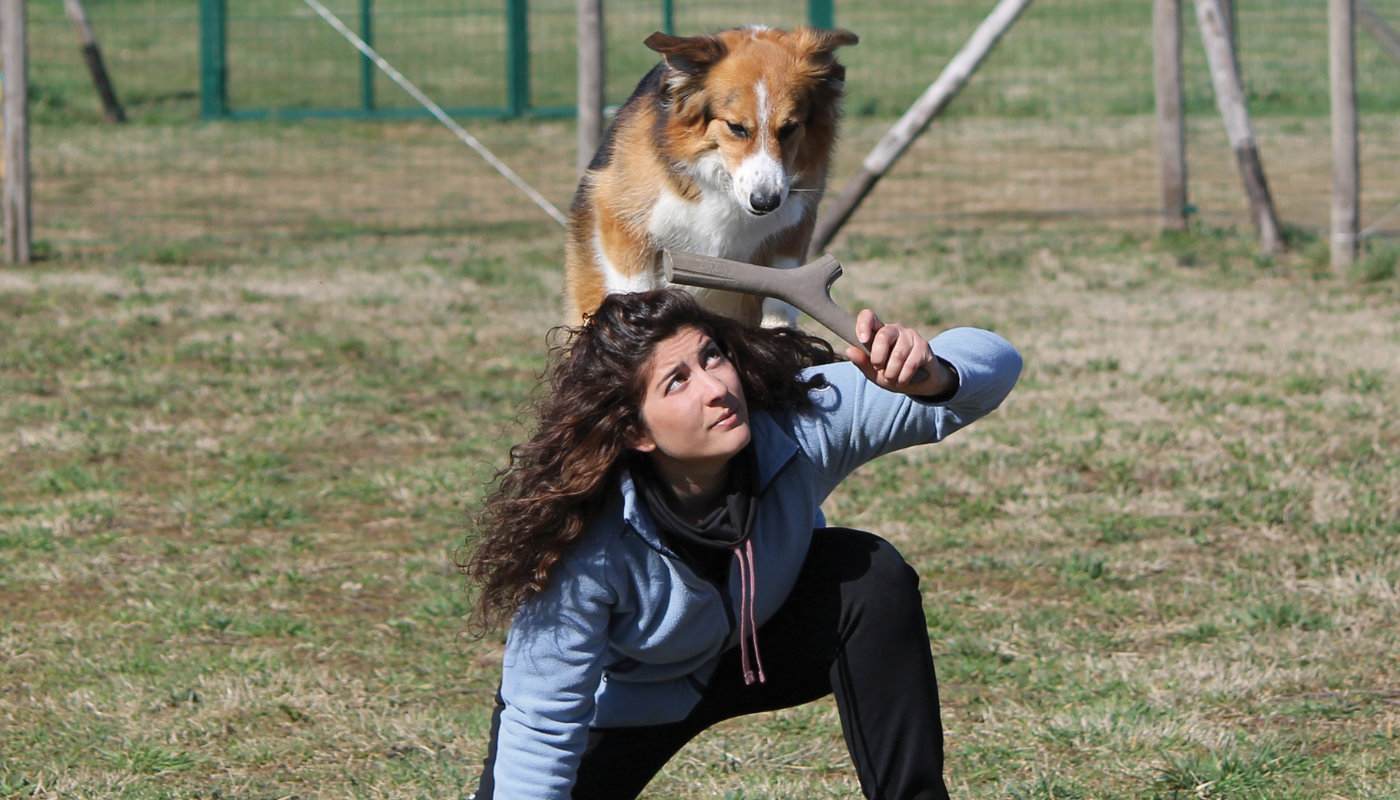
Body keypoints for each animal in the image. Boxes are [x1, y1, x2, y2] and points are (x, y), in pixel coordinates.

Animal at [564, 25, 857, 328]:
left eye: (789, 129)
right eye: (736, 127)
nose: (765, 202)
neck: (721, 183)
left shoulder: (794, 227)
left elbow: (782, 300)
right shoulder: (623, 225)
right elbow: (634, 286)